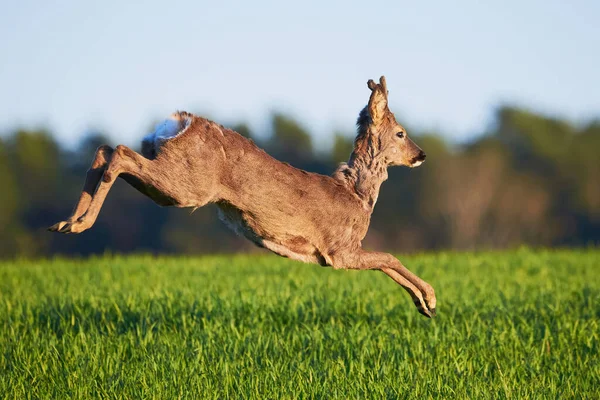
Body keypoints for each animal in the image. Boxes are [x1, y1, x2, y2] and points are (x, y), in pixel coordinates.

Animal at [49, 76, 436, 318]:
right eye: (401, 133)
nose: (421, 154)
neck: (357, 195)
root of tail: (180, 121)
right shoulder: (339, 250)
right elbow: (389, 257)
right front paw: (430, 298)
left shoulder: (339, 253)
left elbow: (387, 262)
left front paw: (423, 306)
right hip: (186, 185)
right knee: (119, 153)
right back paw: (79, 224)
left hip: (168, 181)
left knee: (105, 149)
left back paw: (65, 223)